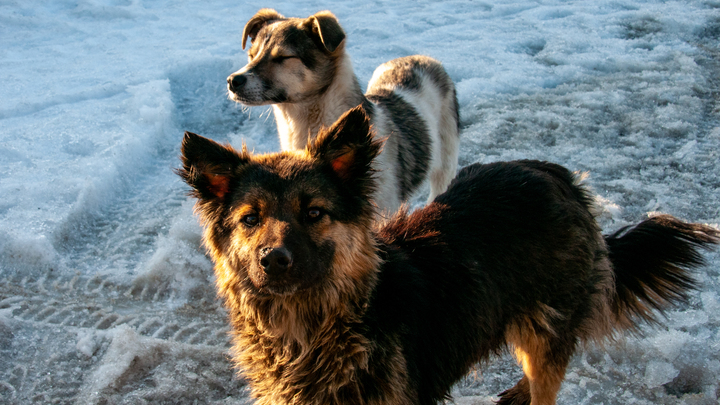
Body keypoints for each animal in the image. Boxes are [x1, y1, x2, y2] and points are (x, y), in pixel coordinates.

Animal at [177, 106, 716, 404]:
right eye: (250, 219)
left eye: (314, 213)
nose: (273, 260)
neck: (313, 326)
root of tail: (556, 176)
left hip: (546, 326)